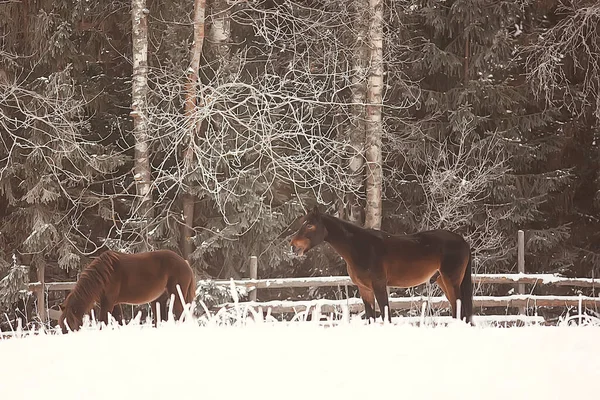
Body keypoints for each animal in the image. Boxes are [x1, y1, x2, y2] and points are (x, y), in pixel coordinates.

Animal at [58, 248, 196, 332]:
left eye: (70, 325)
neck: (104, 275)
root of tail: (185, 263)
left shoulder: (108, 303)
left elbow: (104, 322)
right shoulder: (114, 304)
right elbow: (119, 321)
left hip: (176, 296)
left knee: (180, 314)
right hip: (158, 300)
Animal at [288, 206, 476, 324]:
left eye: (310, 225)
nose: (293, 246)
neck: (360, 247)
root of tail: (463, 242)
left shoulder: (379, 285)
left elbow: (386, 316)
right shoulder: (365, 289)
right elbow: (371, 317)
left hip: (451, 280)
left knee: (460, 309)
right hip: (442, 280)